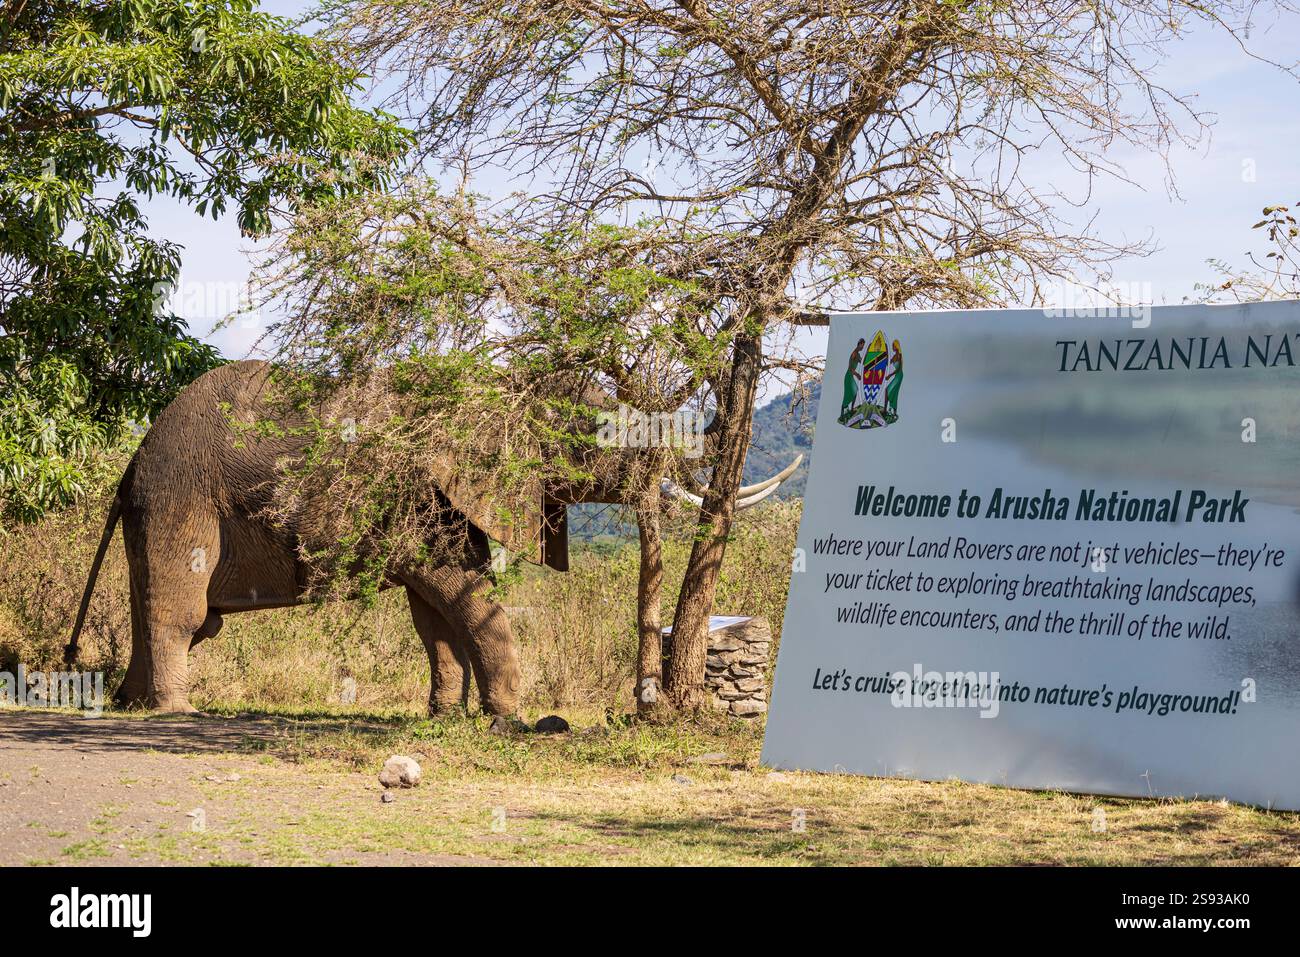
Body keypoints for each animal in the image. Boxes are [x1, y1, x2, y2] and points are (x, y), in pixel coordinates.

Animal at [64, 359, 800, 715]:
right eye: (596, 431)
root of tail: (134, 457)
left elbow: (434, 616)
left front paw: (448, 717)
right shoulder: (415, 498)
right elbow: (457, 592)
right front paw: (511, 721)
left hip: (158, 507)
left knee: (160, 609)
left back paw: (127, 704)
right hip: (182, 497)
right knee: (183, 613)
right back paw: (174, 712)